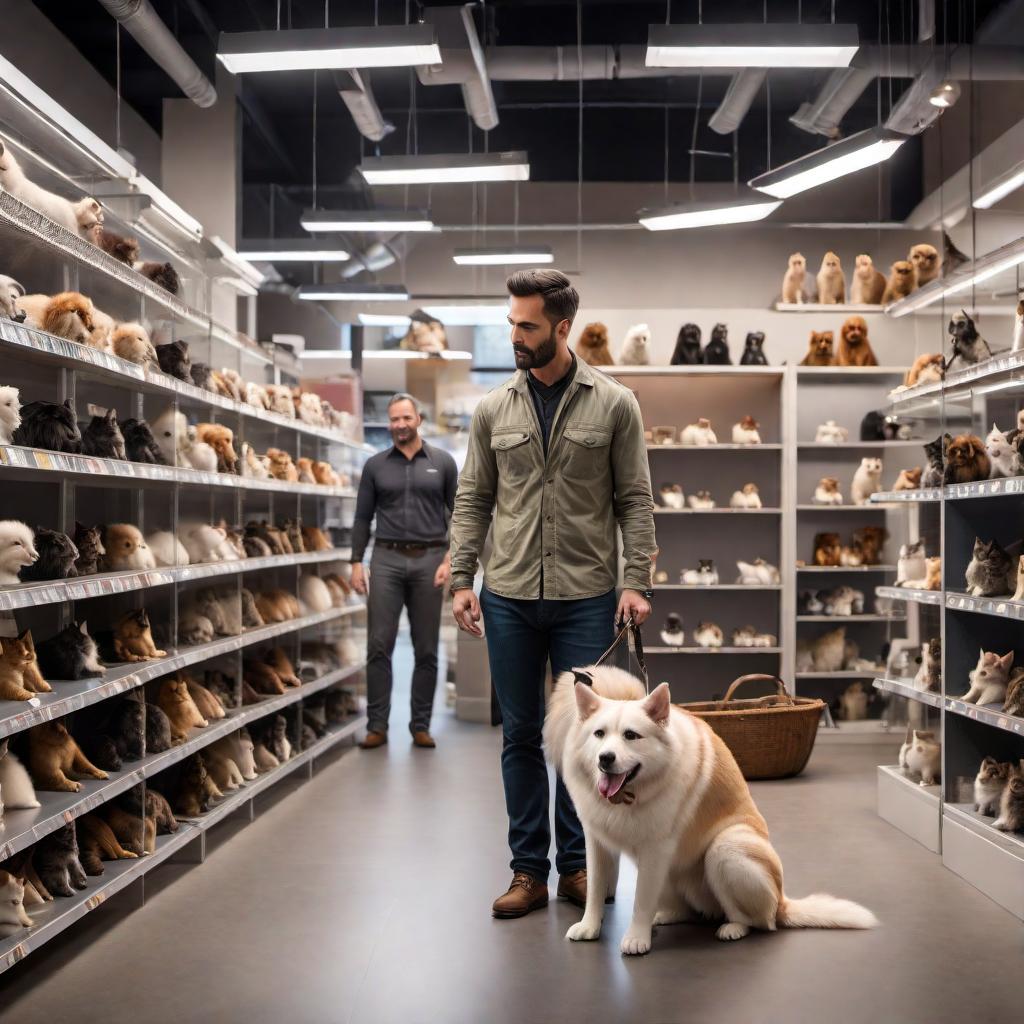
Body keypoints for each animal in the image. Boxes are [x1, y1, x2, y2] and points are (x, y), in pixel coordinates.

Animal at [548, 667, 876, 954]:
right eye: (599, 734)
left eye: (631, 735)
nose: (605, 758)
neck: (631, 795)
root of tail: (783, 902)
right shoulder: (596, 843)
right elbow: (595, 890)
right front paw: (590, 927)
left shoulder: (655, 850)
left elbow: (641, 899)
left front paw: (636, 938)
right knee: (689, 910)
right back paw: (667, 915)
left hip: (726, 849)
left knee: (758, 920)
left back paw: (733, 928)